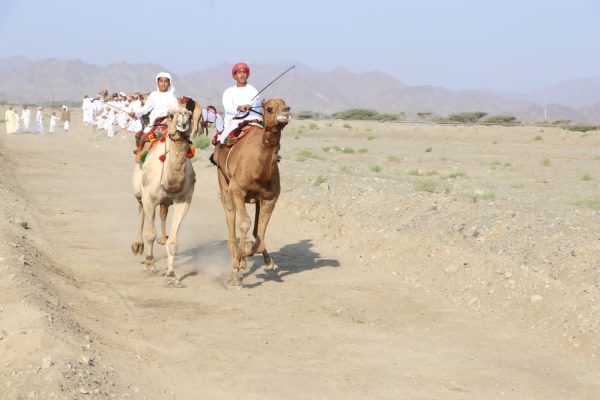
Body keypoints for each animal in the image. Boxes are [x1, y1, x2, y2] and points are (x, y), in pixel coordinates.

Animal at [131, 103, 198, 286]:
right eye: (171, 115)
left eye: (189, 115)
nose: (183, 123)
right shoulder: (149, 198)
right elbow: (150, 234)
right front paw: (149, 265)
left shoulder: (184, 201)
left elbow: (173, 241)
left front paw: (172, 276)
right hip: (139, 190)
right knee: (141, 210)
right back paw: (137, 246)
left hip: (165, 200)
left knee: (163, 209)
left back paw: (163, 238)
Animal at [212, 99, 291, 285]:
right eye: (269, 108)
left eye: (286, 105)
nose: (286, 112)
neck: (258, 171)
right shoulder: (237, 190)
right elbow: (245, 223)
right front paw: (237, 266)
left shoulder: (269, 199)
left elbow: (260, 234)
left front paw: (264, 261)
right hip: (223, 180)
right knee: (230, 215)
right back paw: (236, 261)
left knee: (255, 230)